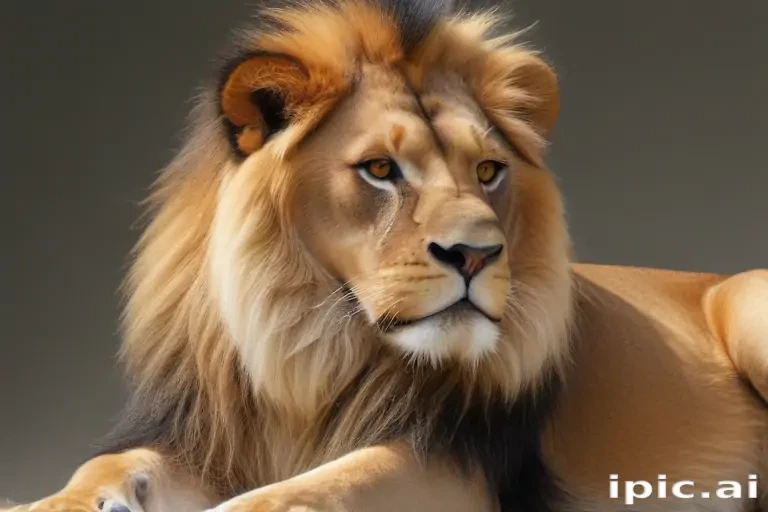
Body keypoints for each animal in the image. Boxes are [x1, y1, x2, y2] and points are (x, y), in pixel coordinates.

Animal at [6, 0, 767, 511]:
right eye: (379, 169)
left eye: (488, 171)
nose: (477, 255)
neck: (312, 346)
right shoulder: (200, 436)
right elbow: (104, 466)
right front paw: (51, 501)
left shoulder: (460, 464)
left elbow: (333, 480)